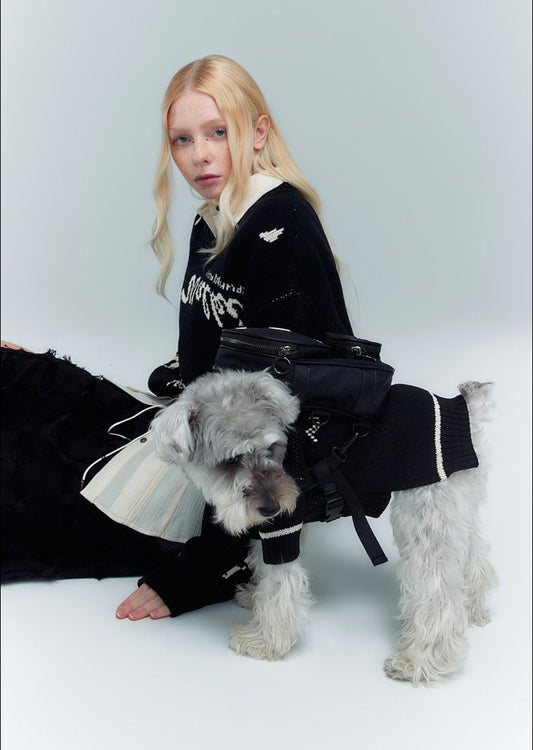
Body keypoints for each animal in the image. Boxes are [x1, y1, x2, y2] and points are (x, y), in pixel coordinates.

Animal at [152, 368, 497, 682]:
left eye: (271, 447)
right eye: (230, 461)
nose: (271, 506)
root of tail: (461, 405)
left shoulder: (283, 528)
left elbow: (280, 587)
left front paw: (263, 641)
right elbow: (264, 570)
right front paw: (254, 597)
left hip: (424, 517)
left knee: (437, 594)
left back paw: (418, 660)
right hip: (457, 506)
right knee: (474, 558)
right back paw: (473, 609)